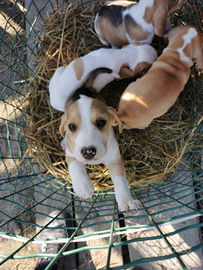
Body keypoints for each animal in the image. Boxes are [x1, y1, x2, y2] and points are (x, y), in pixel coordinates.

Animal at [58, 67, 141, 211]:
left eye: (101, 122)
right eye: (72, 126)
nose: (88, 152)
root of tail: (83, 88)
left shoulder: (115, 160)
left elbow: (121, 181)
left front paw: (126, 201)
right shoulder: (70, 154)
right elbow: (75, 166)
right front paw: (83, 186)